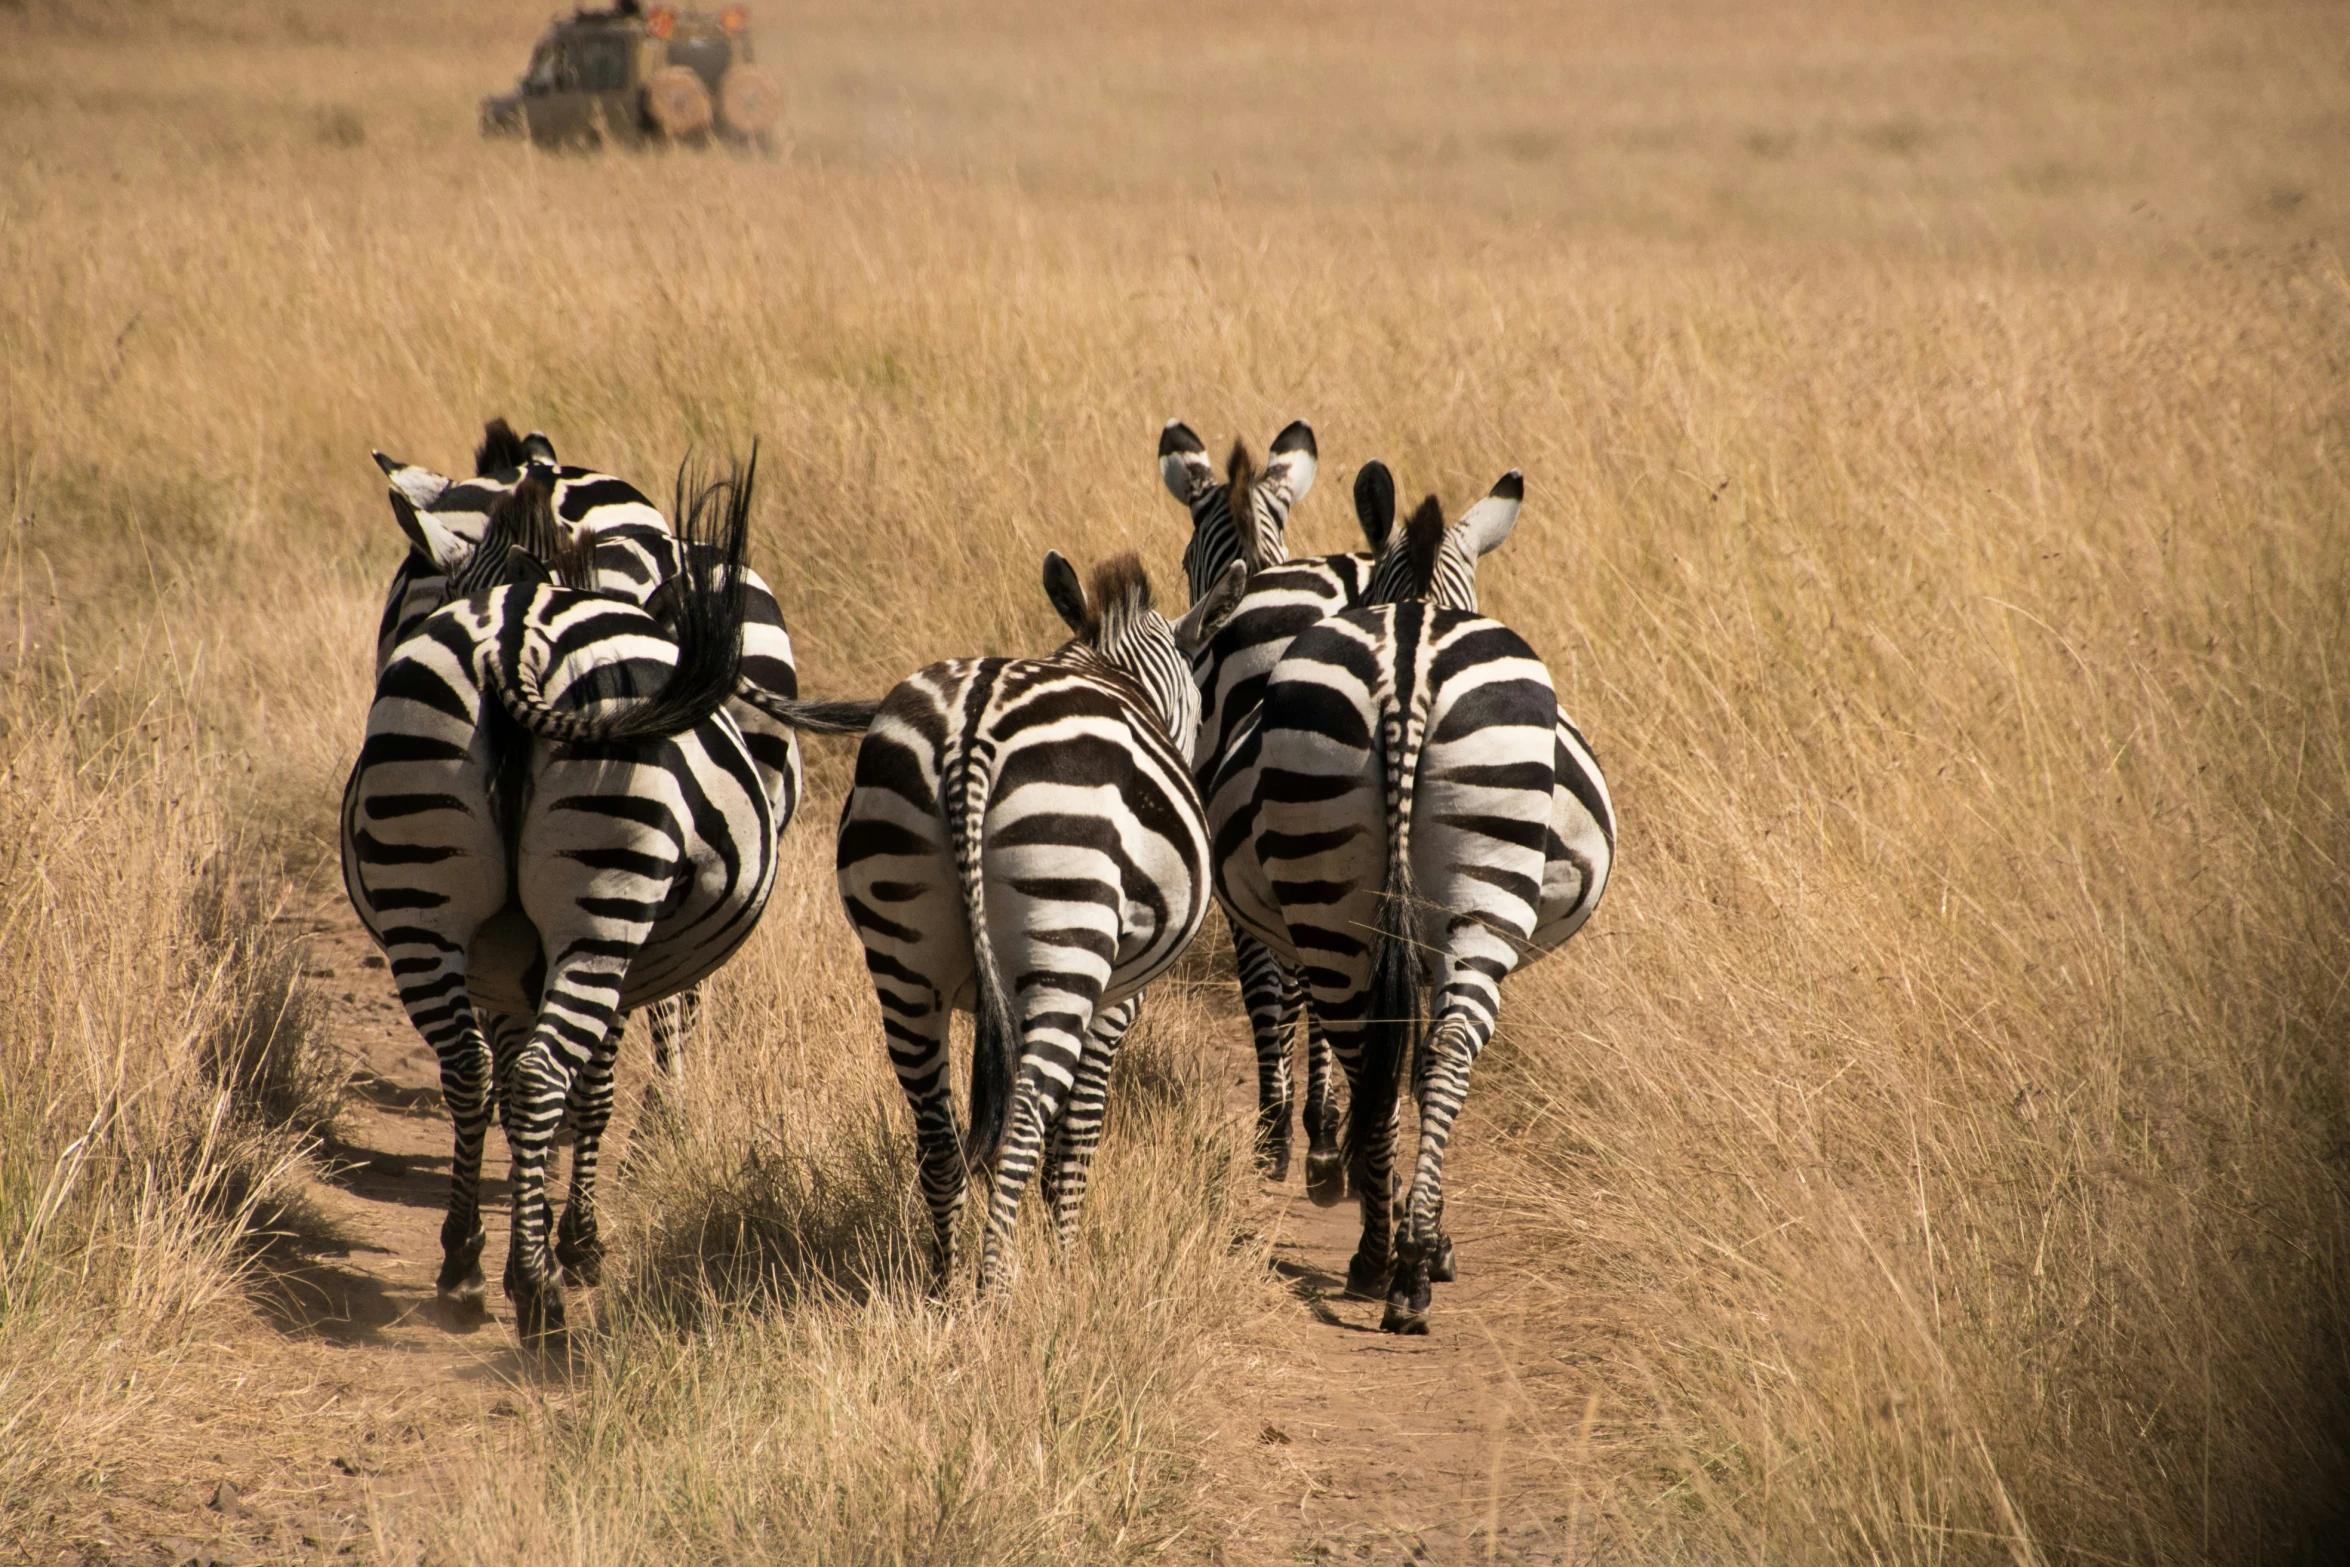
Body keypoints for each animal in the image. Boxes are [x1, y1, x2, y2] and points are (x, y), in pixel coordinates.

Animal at [340, 465, 784, 1353]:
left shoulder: (506, 965)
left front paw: (526, 1228)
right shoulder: (602, 957)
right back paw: (539, 1291)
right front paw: (573, 1241)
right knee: (555, 1070)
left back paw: (465, 1266)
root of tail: (516, 638)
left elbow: (509, 1084)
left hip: (423, 896)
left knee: (471, 1069)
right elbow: (594, 1086)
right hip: (603, 903)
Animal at [841, 552, 1259, 1296]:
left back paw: (947, 1290)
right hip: (1070, 942)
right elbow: (1078, 1129)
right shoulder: (1119, 998)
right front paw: (1067, 1259)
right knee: (1021, 1128)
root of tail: (971, 731)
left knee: (939, 1141)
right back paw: (996, 1292)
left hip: (902, 962)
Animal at [1212, 479, 1616, 1334]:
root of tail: (1408, 665)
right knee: (1421, 1048)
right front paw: (1423, 1236)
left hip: (1344, 884)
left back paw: (1398, 1264)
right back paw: (1396, 1261)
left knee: (1407, 1049)